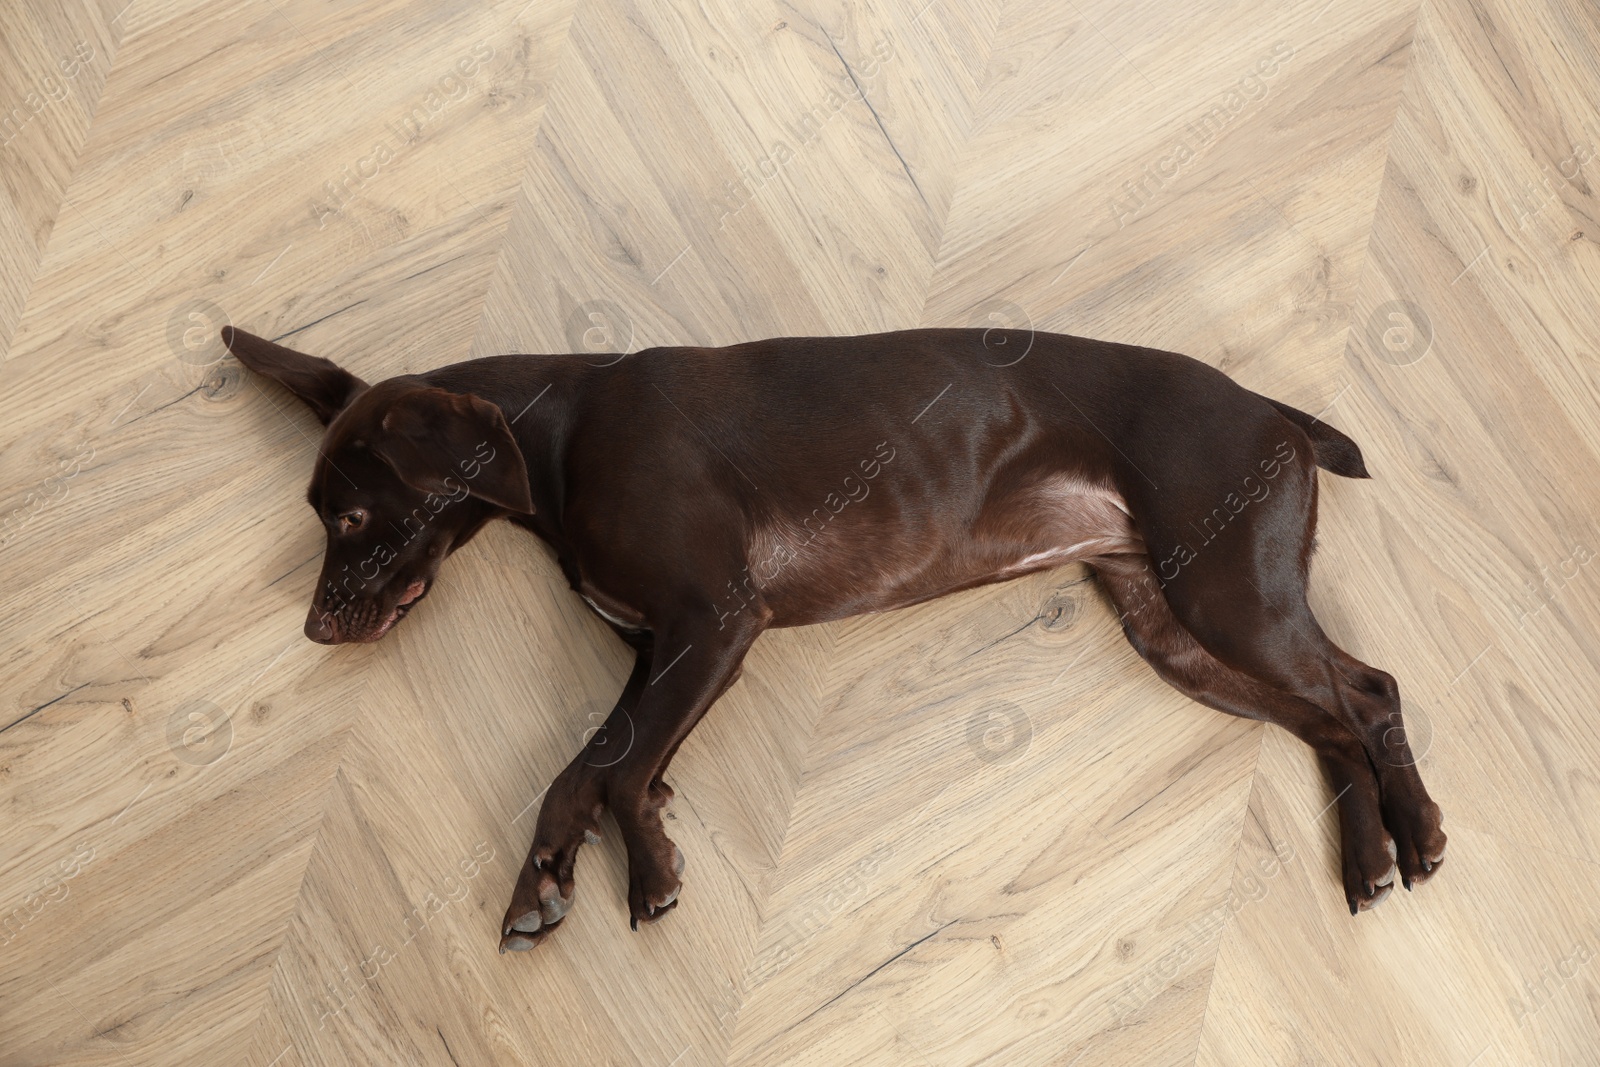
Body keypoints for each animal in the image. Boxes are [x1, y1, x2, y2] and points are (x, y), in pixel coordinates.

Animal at [222, 319, 1452, 953]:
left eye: (349, 516)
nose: (314, 627)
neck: (561, 432)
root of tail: (1272, 409)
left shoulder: (714, 621)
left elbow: (599, 767)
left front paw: (608, 873)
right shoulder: (664, 648)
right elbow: (616, 764)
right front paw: (598, 865)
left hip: (1225, 592)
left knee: (1371, 691)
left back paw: (1418, 830)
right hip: (1176, 629)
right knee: (1327, 719)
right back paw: (1366, 855)